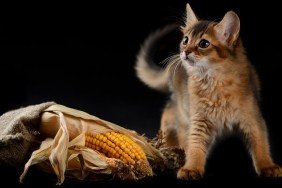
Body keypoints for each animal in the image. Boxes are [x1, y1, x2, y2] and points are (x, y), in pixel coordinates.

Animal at [135, 2, 282, 179]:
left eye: (204, 43)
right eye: (185, 40)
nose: (184, 52)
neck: (214, 82)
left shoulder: (252, 117)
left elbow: (261, 143)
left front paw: (268, 165)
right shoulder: (198, 119)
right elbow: (195, 145)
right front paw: (191, 168)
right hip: (183, 108)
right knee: (170, 114)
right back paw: (167, 144)